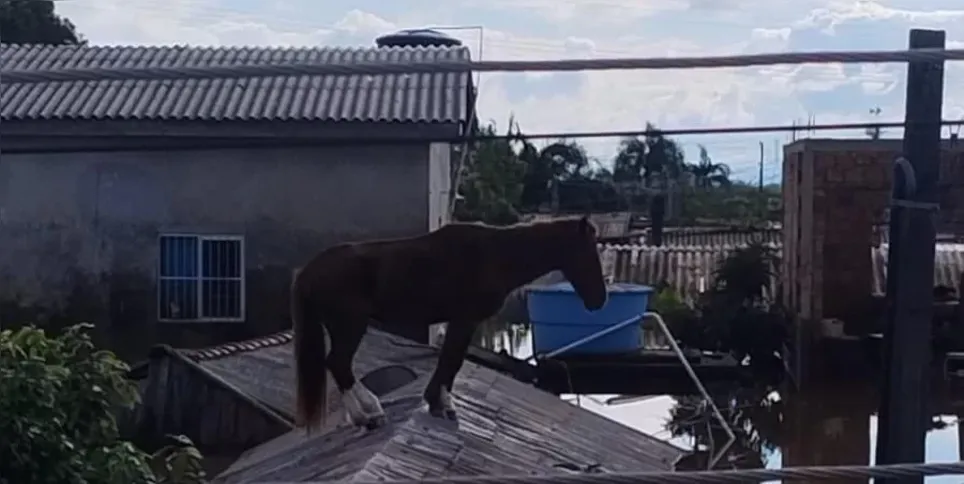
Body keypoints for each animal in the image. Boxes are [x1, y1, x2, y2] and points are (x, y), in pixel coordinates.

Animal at [290, 216, 608, 432]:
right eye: (588, 253)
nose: (599, 300)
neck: (496, 255)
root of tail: (308, 270)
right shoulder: (465, 320)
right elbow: (452, 360)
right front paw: (443, 405)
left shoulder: (461, 322)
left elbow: (449, 361)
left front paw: (437, 402)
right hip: (350, 326)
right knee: (339, 364)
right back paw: (369, 414)